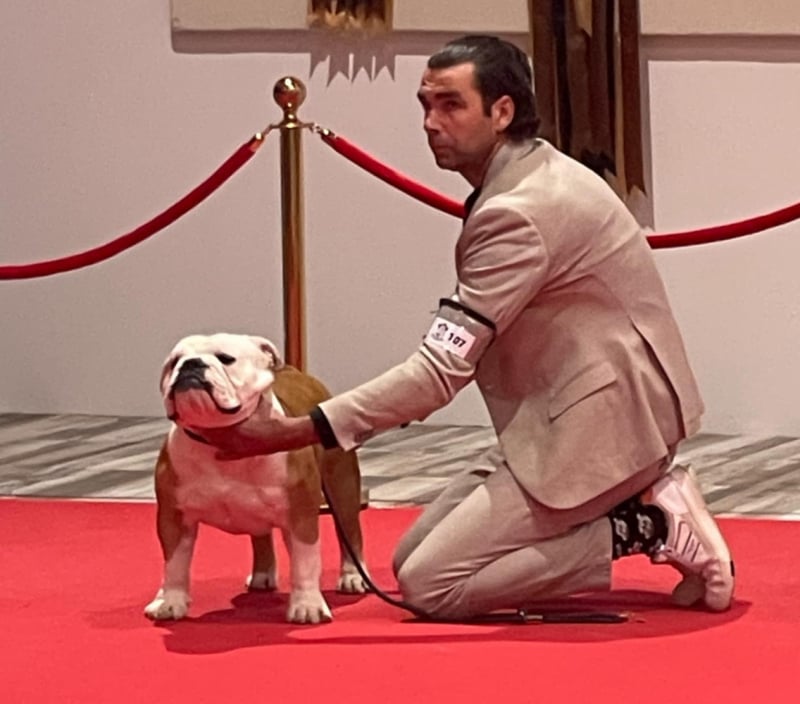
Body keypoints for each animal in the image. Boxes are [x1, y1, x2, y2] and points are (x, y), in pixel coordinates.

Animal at [143, 333, 368, 624]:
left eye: (226, 359)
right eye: (174, 362)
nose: (191, 364)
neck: (216, 440)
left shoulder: (301, 515)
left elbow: (305, 562)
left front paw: (307, 606)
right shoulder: (173, 516)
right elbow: (174, 563)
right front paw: (170, 601)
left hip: (341, 488)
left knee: (350, 532)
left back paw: (352, 577)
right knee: (260, 533)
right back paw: (262, 576)